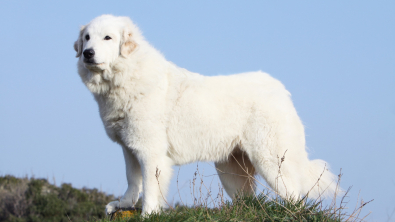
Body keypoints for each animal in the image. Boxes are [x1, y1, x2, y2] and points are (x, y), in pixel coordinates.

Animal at [73, 14, 338, 215]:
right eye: (87, 38)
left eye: (108, 37)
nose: (87, 53)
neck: (127, 75)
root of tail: (280, 88)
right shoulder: (129, 147)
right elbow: (132, 180)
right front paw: (123, 204)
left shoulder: (150, 151)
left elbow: (149, 188)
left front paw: (148, 214)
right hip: (231, 171)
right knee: (248, 201)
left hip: (271, 162)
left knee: (295, 198)